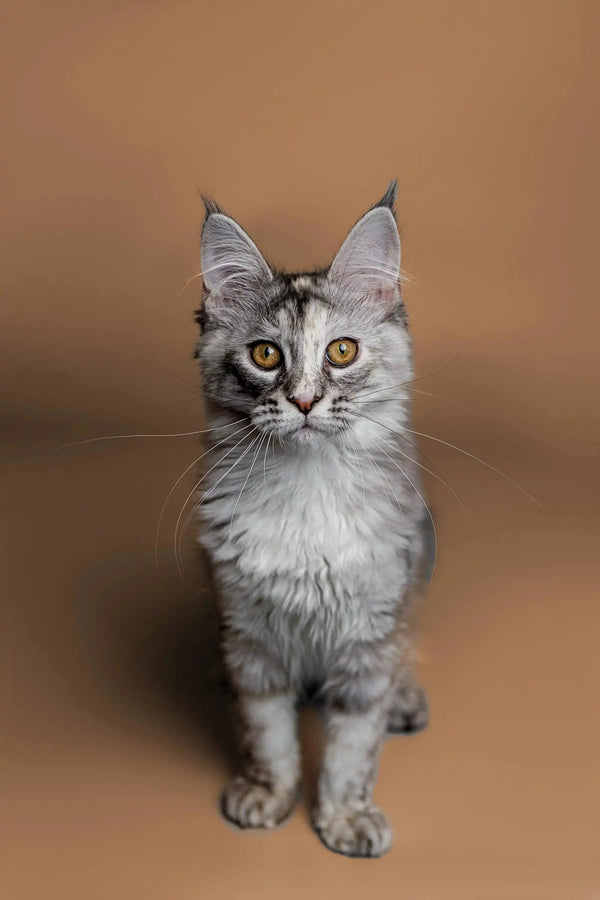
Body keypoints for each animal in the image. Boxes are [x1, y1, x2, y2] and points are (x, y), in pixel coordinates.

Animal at [192, 185, 432, 856]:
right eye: (265, 354)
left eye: (341, 352)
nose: (302, 400)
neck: (307, 489)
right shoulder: (251, 636)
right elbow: (267, 732)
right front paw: (267, 796)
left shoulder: (371, 636)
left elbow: (353, 747)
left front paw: (344, 818)